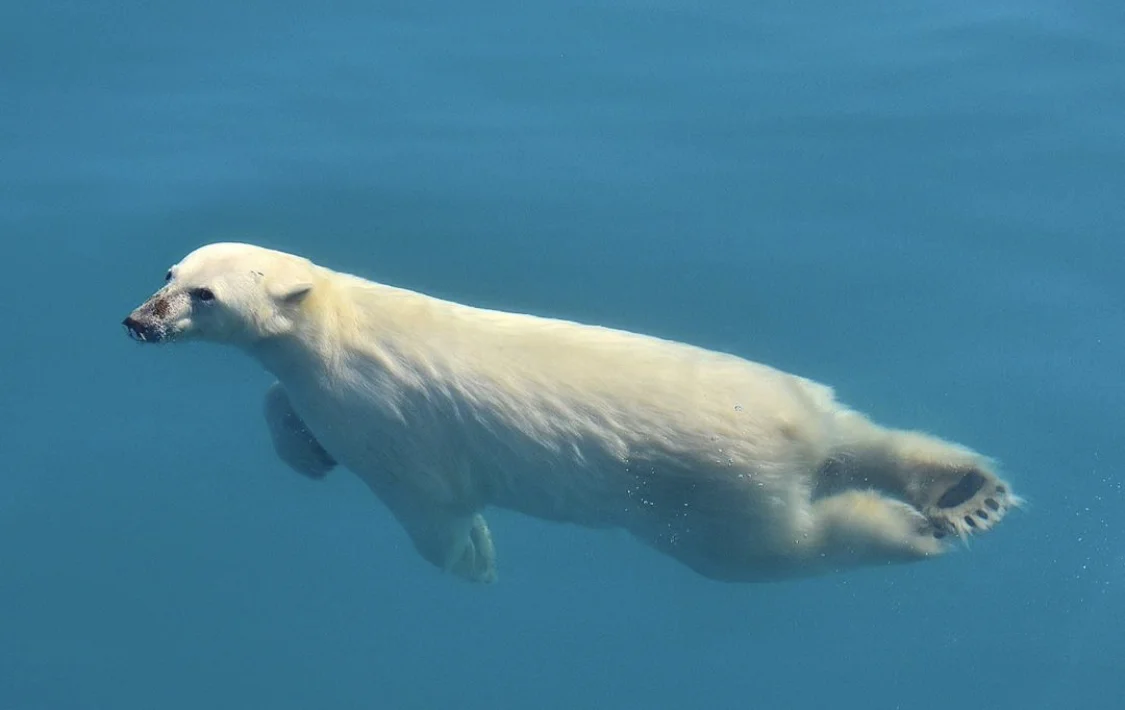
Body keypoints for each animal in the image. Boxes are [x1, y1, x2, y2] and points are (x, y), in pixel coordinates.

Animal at [123, 242, 1019, 584]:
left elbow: (431, 508)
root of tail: (787, 436)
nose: (139, 320)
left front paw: (474, 560)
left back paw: (919, 530)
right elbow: (282, 404)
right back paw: (965, 489)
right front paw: (303, 449)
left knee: (783, 546)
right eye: (168, 272)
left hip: (707, 496)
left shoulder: (380, 416)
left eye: (203, 295)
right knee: (862, 437)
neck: (339, 322)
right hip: (790, 394)